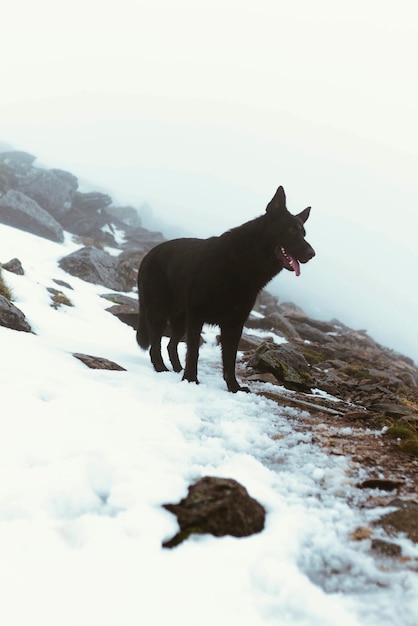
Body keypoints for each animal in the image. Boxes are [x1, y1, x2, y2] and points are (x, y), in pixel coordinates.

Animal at [136, 185, 314, 390]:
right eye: (291, 230)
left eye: (303, 234)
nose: (312, 253)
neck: (242, 266)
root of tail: (147, 256)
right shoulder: (197, 317)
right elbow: (194, 353)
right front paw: (191, 380)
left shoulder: (234, 325)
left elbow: (230, 359)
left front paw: (233, 388)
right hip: (159, 313)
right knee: (155, 345)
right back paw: (161, 368)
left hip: (180, 321)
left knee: (170, 345)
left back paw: (177, 369)